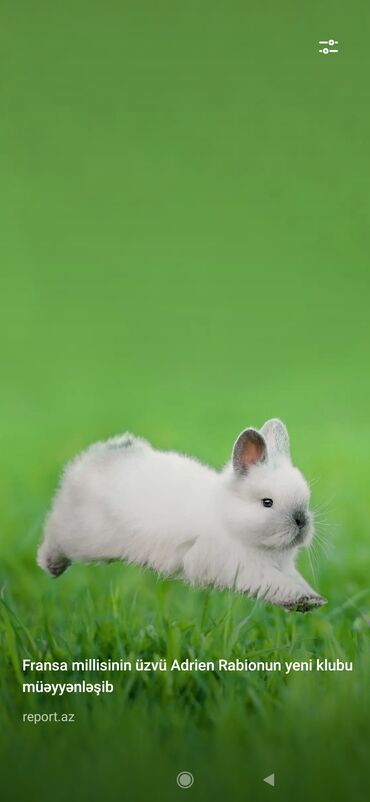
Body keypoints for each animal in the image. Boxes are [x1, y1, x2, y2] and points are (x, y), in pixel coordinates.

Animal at [37, 418, 326, 612]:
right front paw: (303, 600)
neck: (228, 517)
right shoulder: (241, 565)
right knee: (55, 533)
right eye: (267, 503)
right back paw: (51, 566)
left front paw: (312, 600)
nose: (301, 521)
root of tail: (93, 460)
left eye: (305, 499)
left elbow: (293, 580)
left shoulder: (284, 567)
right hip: (83, 535)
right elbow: (274, 583)